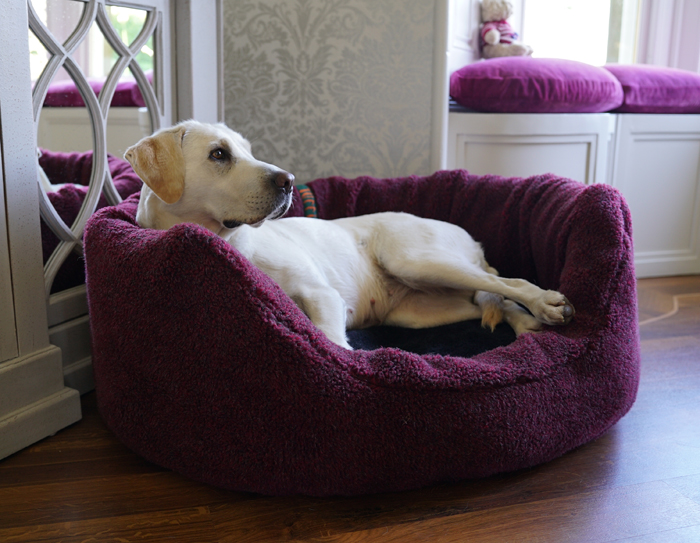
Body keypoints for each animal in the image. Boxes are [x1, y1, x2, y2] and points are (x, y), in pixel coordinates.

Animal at [126, 121, 576, 350]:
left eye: (248, 150)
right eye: (218, 154)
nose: (289, 180)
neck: (232, 244)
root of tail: (475, 243)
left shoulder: (323, 296)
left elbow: (332, 343)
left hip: (417, 260)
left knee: (509, 283)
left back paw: (547, 304)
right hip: (421, 310)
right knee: (492, 297)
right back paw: (526, 323)